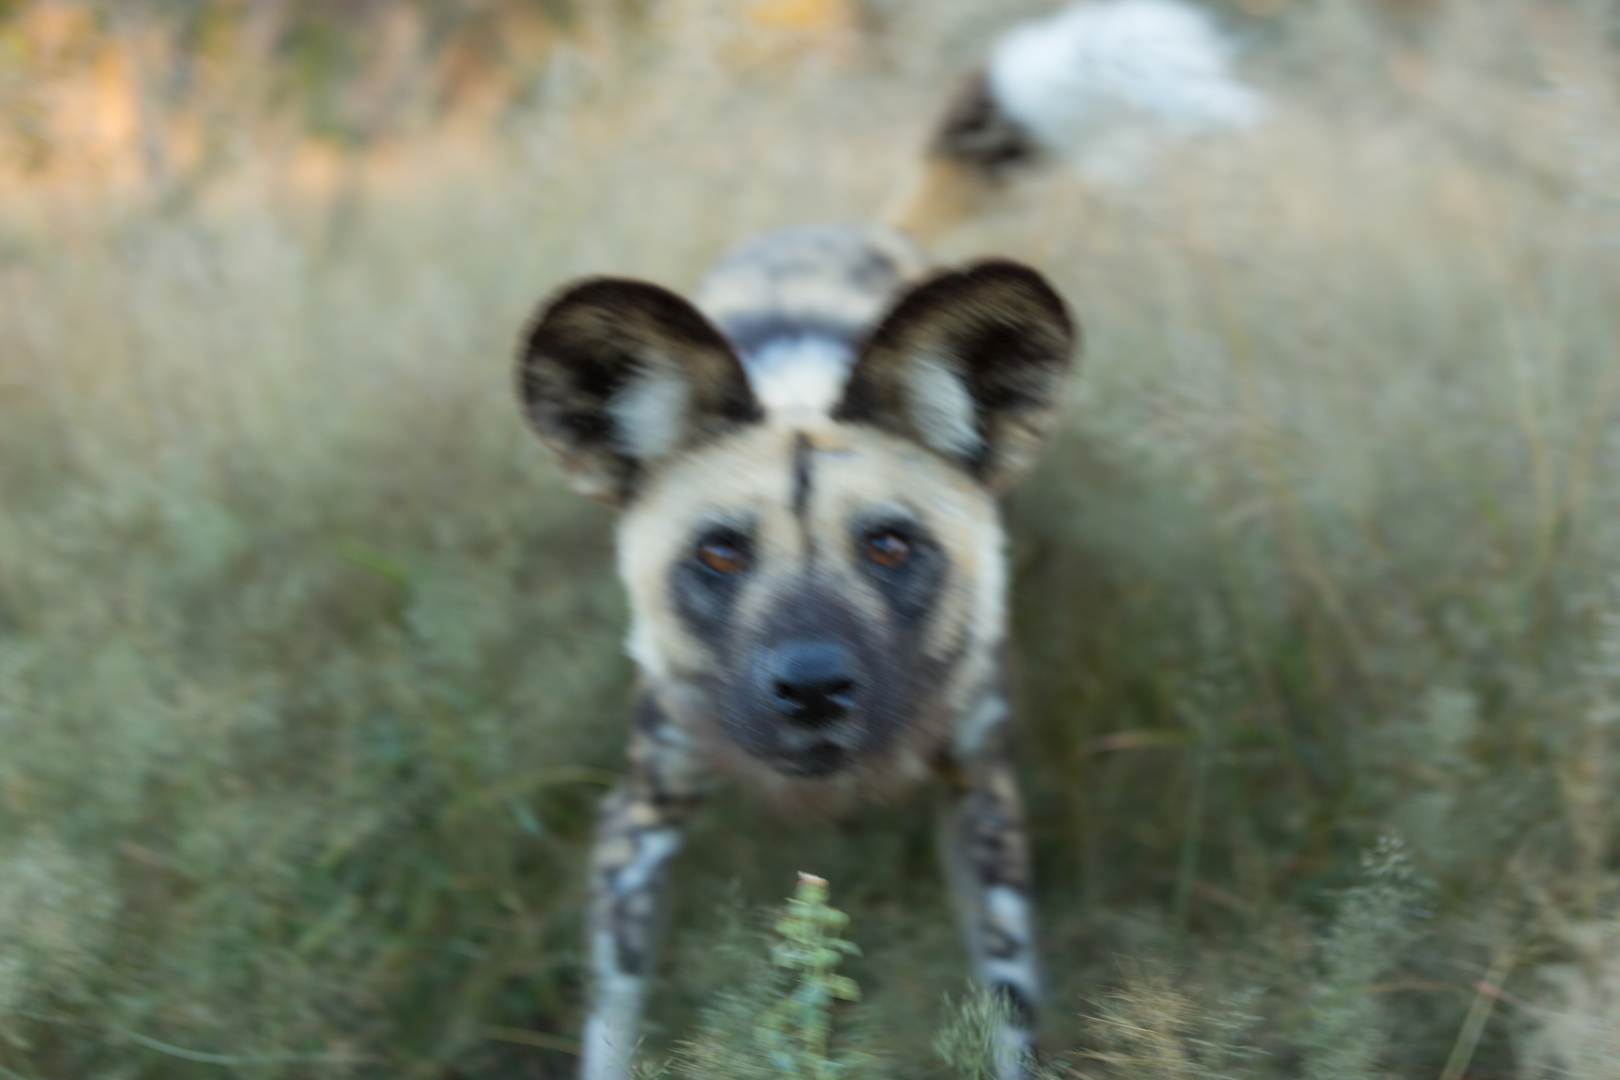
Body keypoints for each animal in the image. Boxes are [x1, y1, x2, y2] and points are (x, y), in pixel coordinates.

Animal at [511, 4, 1257, 1075]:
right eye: (719, 553)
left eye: (891, 547)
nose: (814, 688)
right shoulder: (639, 824)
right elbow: (613, 1022)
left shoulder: (983, 806)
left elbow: (1008, 1011)